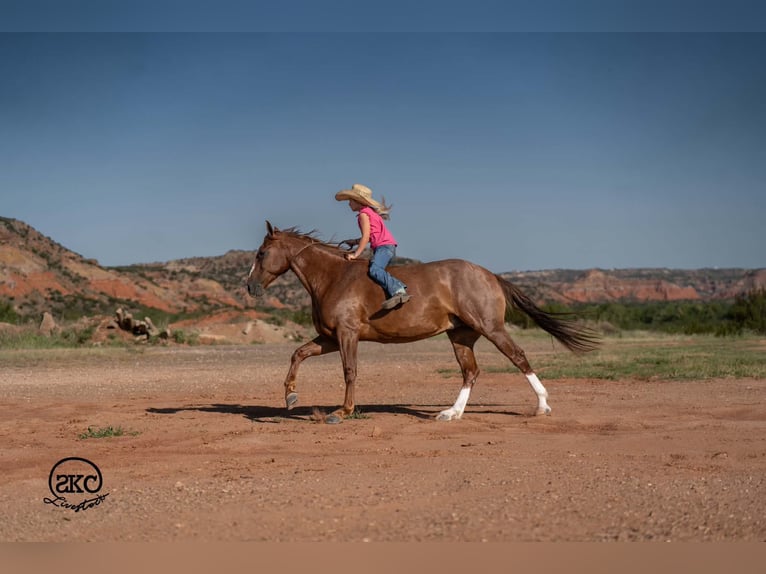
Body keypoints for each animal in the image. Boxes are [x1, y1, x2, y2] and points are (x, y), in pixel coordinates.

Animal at [246, 221, 599, 424]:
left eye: (262, 253)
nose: (249, 287)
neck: (333, 277)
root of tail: (490, 275)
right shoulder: (330, 338)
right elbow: (298, 354)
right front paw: (291, 397)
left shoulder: (347, 335)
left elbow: (349, 372)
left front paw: (342, 412)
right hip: (461, 336)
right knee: (471, 372)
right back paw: (451, 413)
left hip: (491, 328)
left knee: (519, 358)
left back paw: (542, 406)